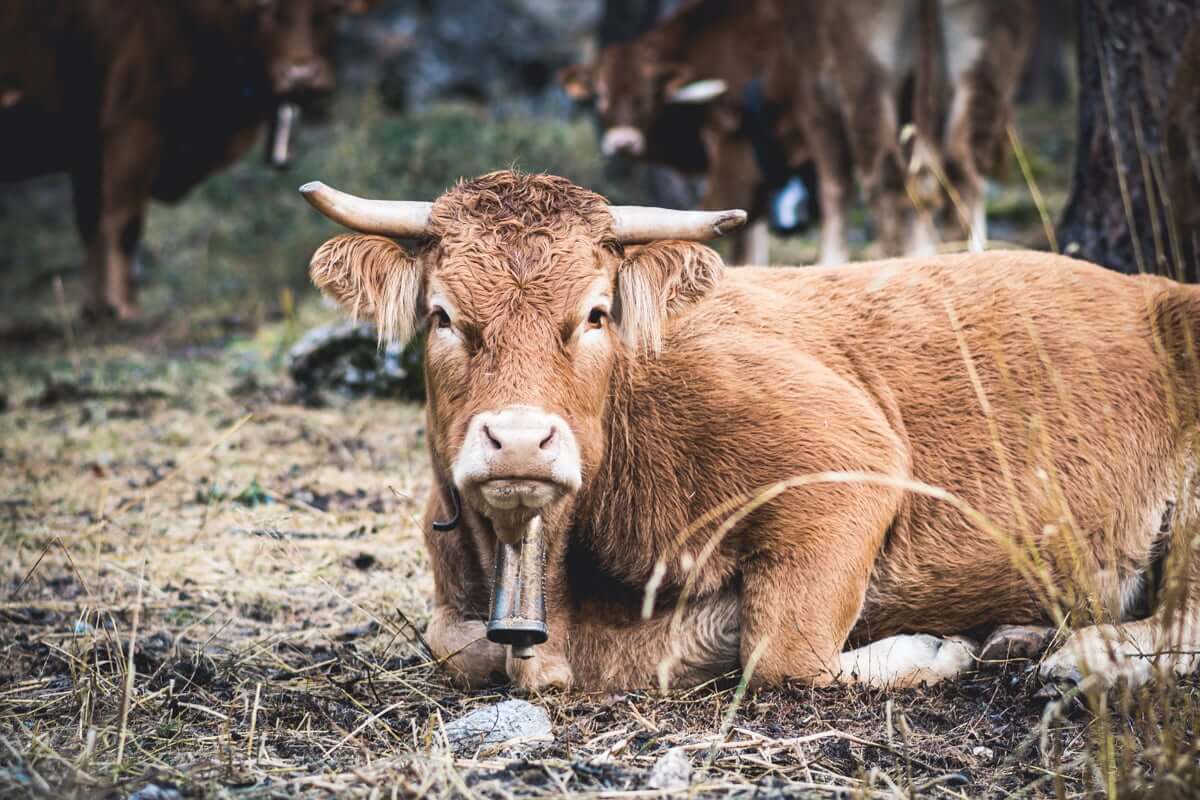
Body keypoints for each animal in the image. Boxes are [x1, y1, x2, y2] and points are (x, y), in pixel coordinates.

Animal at [0, 0, 374, 319]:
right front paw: (123, 306)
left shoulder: (89, 153)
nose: (302, 77)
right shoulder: (133, 127)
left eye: (332, 9)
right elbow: (123, 224)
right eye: (264, 7)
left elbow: (91, 224)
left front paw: (96, 307)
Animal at [302, 170, 1200, 695]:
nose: (520, 440)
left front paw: (935, 650)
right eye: (442, 315)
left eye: (596, 313)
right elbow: (457, 644)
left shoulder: (850, 462)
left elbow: (784, 650)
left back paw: (1072, 655)